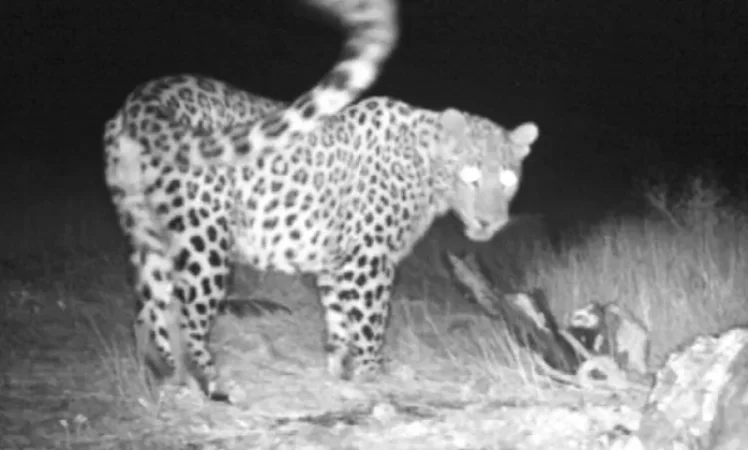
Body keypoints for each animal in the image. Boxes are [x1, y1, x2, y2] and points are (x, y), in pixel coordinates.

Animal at [104, 0, 539, 404]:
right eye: (470, 177)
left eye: (508, 179)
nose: (489, 223)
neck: (424, 164)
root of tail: (145, 95)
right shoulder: (368, 258)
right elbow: (371, 321)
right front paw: (374, 377)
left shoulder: (336, 260)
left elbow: (339, 320)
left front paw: (341, 371)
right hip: (204, 240)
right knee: (184, 315)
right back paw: (211, 385)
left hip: (145, 231)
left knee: (148, 312)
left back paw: (165, 381)